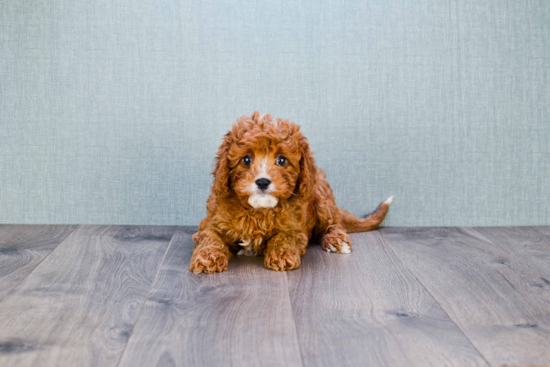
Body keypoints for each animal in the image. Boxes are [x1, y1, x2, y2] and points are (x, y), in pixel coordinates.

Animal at [192, 112, 394, 274]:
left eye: (281, 160)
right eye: (246, 159)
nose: (263, 181)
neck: (258, 210)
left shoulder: (295, 226)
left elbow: (286, 236)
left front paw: (281, 256)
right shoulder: (212, 221)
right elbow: (210, 237)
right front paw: (207, 258)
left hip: (321, 199)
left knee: (334, 224)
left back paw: (336, 240)